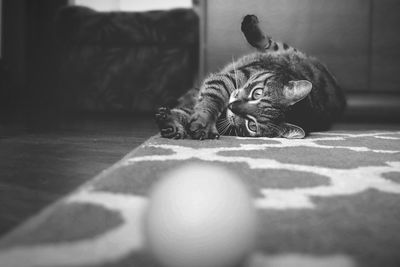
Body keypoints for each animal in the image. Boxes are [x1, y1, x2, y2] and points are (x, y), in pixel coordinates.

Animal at [155, 14, 346, 140]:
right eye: (257, 93)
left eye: (252, 125)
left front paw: (173, 123)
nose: (232, 107)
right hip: (285, 51)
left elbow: (190, 111)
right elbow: (210, 101)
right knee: (270, 43)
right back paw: (250, 24)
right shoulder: (227, 80)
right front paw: (202, 121)